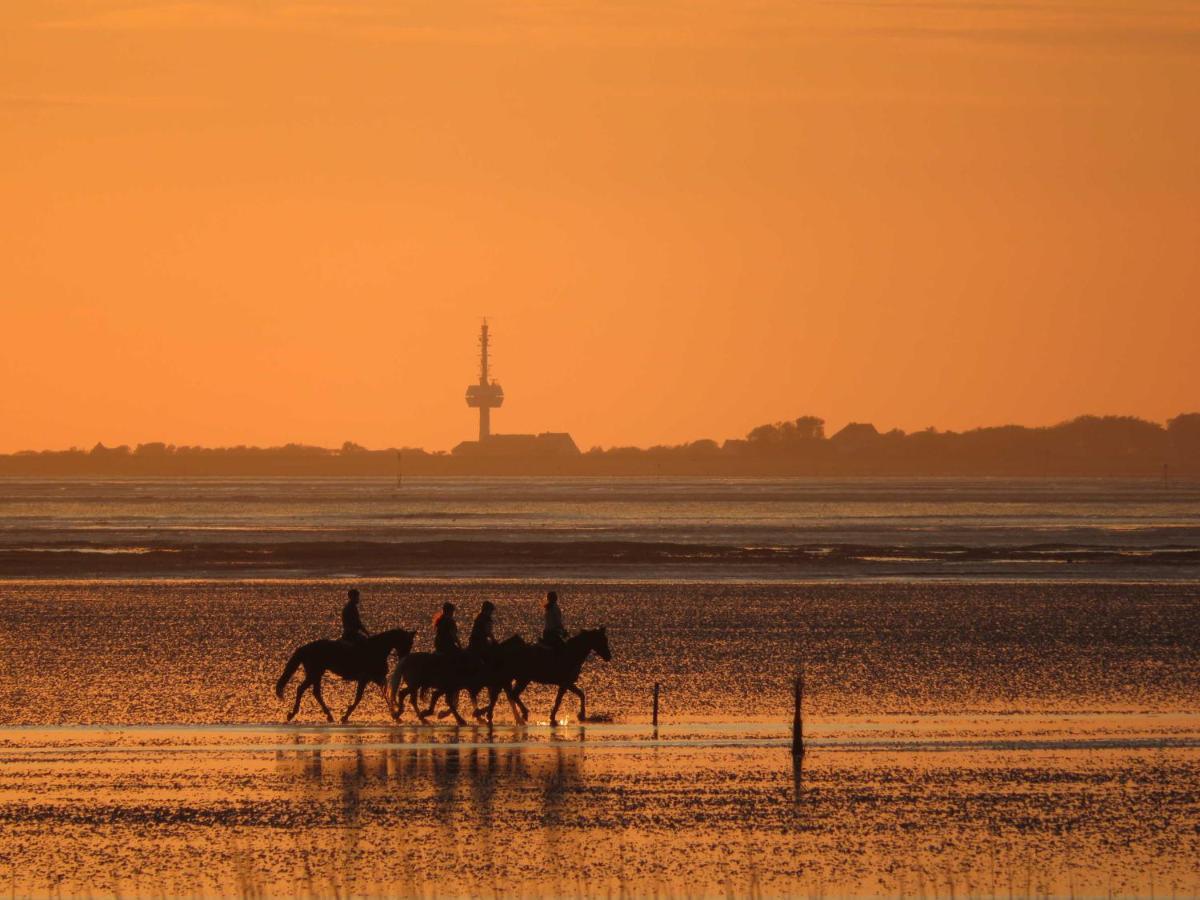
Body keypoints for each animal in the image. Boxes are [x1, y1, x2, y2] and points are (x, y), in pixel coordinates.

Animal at [276, 633, 417, 724]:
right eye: (408, 643)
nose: (405, 659)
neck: (375, 649)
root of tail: (305, 647)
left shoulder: (376, 678)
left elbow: (385, 694)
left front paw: (396, 715)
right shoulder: (365, 678)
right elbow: (359, 698)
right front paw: (345, 716)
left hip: (317, 674)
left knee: (315, 692)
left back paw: (329, 716)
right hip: (314, 673)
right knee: (301, 689)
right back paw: (292, 714)